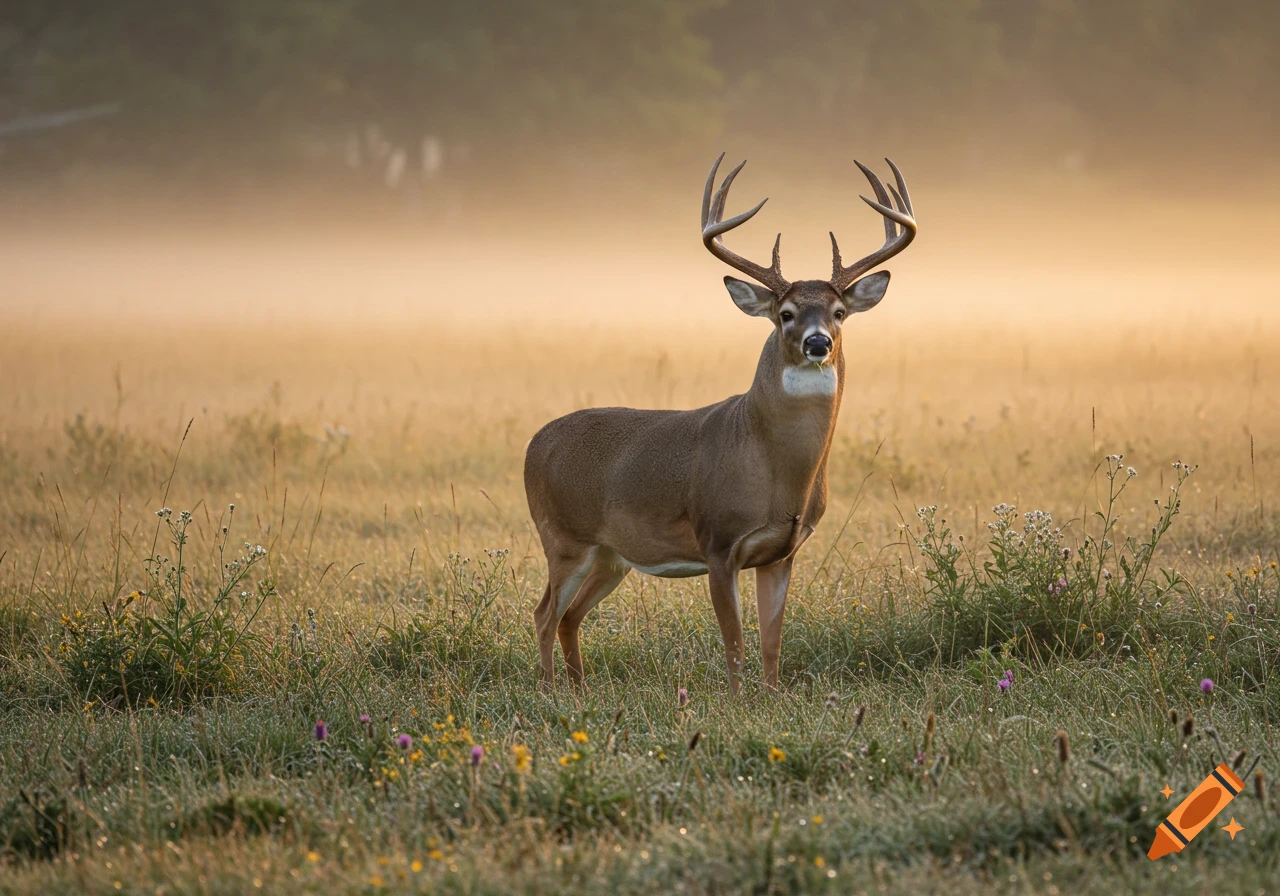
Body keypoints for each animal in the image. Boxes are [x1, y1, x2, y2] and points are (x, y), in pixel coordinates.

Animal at [524, 153, 917, 694]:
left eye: (840, 312)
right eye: (785, 313)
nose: (818, 342)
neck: (774, 471)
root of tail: (533, 444)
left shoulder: (782, 552)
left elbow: (772, 645)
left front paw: (771, 699)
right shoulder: (717, 542)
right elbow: (734, 645)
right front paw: (736, 703)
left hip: (612, 555)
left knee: (569, 617)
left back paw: (580, 689)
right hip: (563, 537)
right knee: (543, 613)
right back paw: (550, 692)